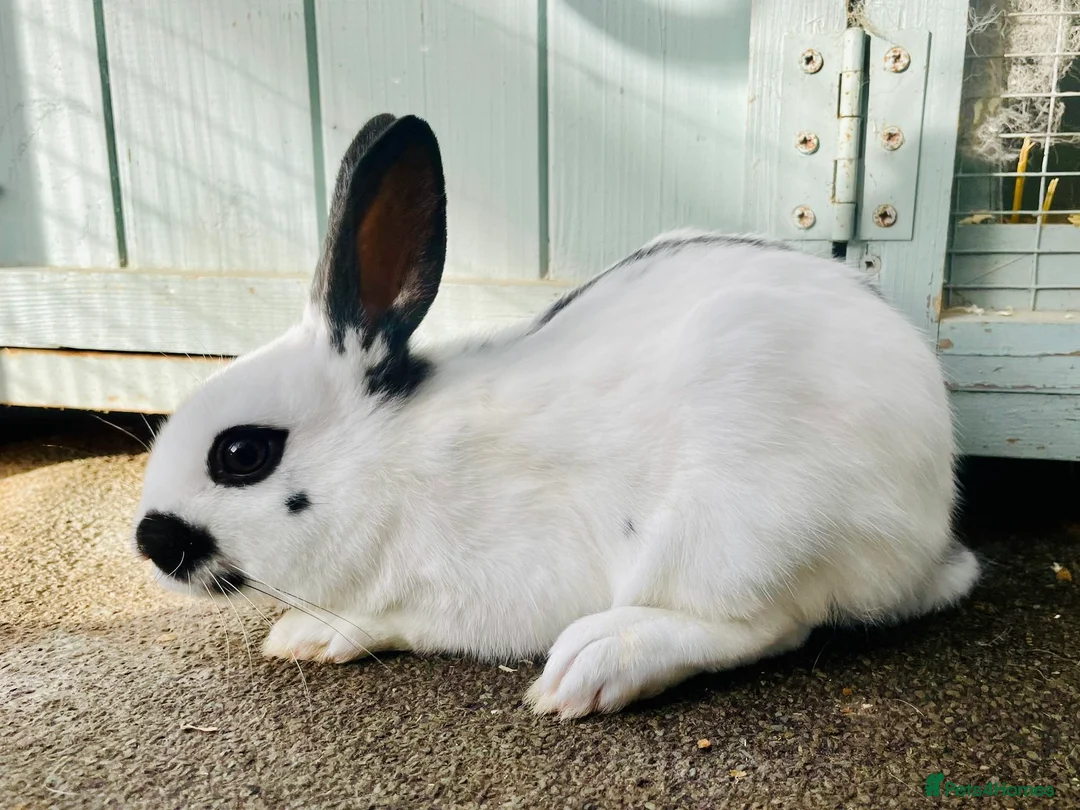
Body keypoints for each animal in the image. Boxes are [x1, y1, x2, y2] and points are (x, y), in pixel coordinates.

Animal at [132, 112, 980, 719]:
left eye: (243, 454)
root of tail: (932, 531)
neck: (389, 461)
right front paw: (301, 635)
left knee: (773, 623)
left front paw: (314, 631)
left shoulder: (494, 590)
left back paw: (598, 664)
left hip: (745, 524)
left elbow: (401, 619)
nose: (150, 541)